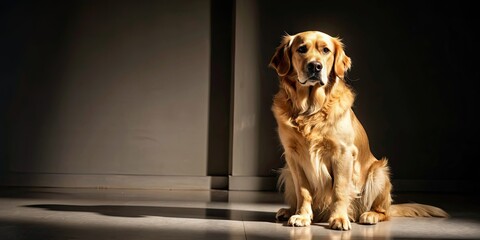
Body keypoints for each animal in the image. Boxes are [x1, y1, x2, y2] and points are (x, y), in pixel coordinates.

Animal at [268, 30, 448, 231]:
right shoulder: (293, 156)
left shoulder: (342, 153)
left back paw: (369, 215)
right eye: (301, 49)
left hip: (379, 173)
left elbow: (339, 190)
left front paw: (339, 218)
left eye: (325, 50)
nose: (315, 66)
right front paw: (302, 216)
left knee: (383, 212)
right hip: (287, 172)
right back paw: (289, 211)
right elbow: (303, 191)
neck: (311, 110)